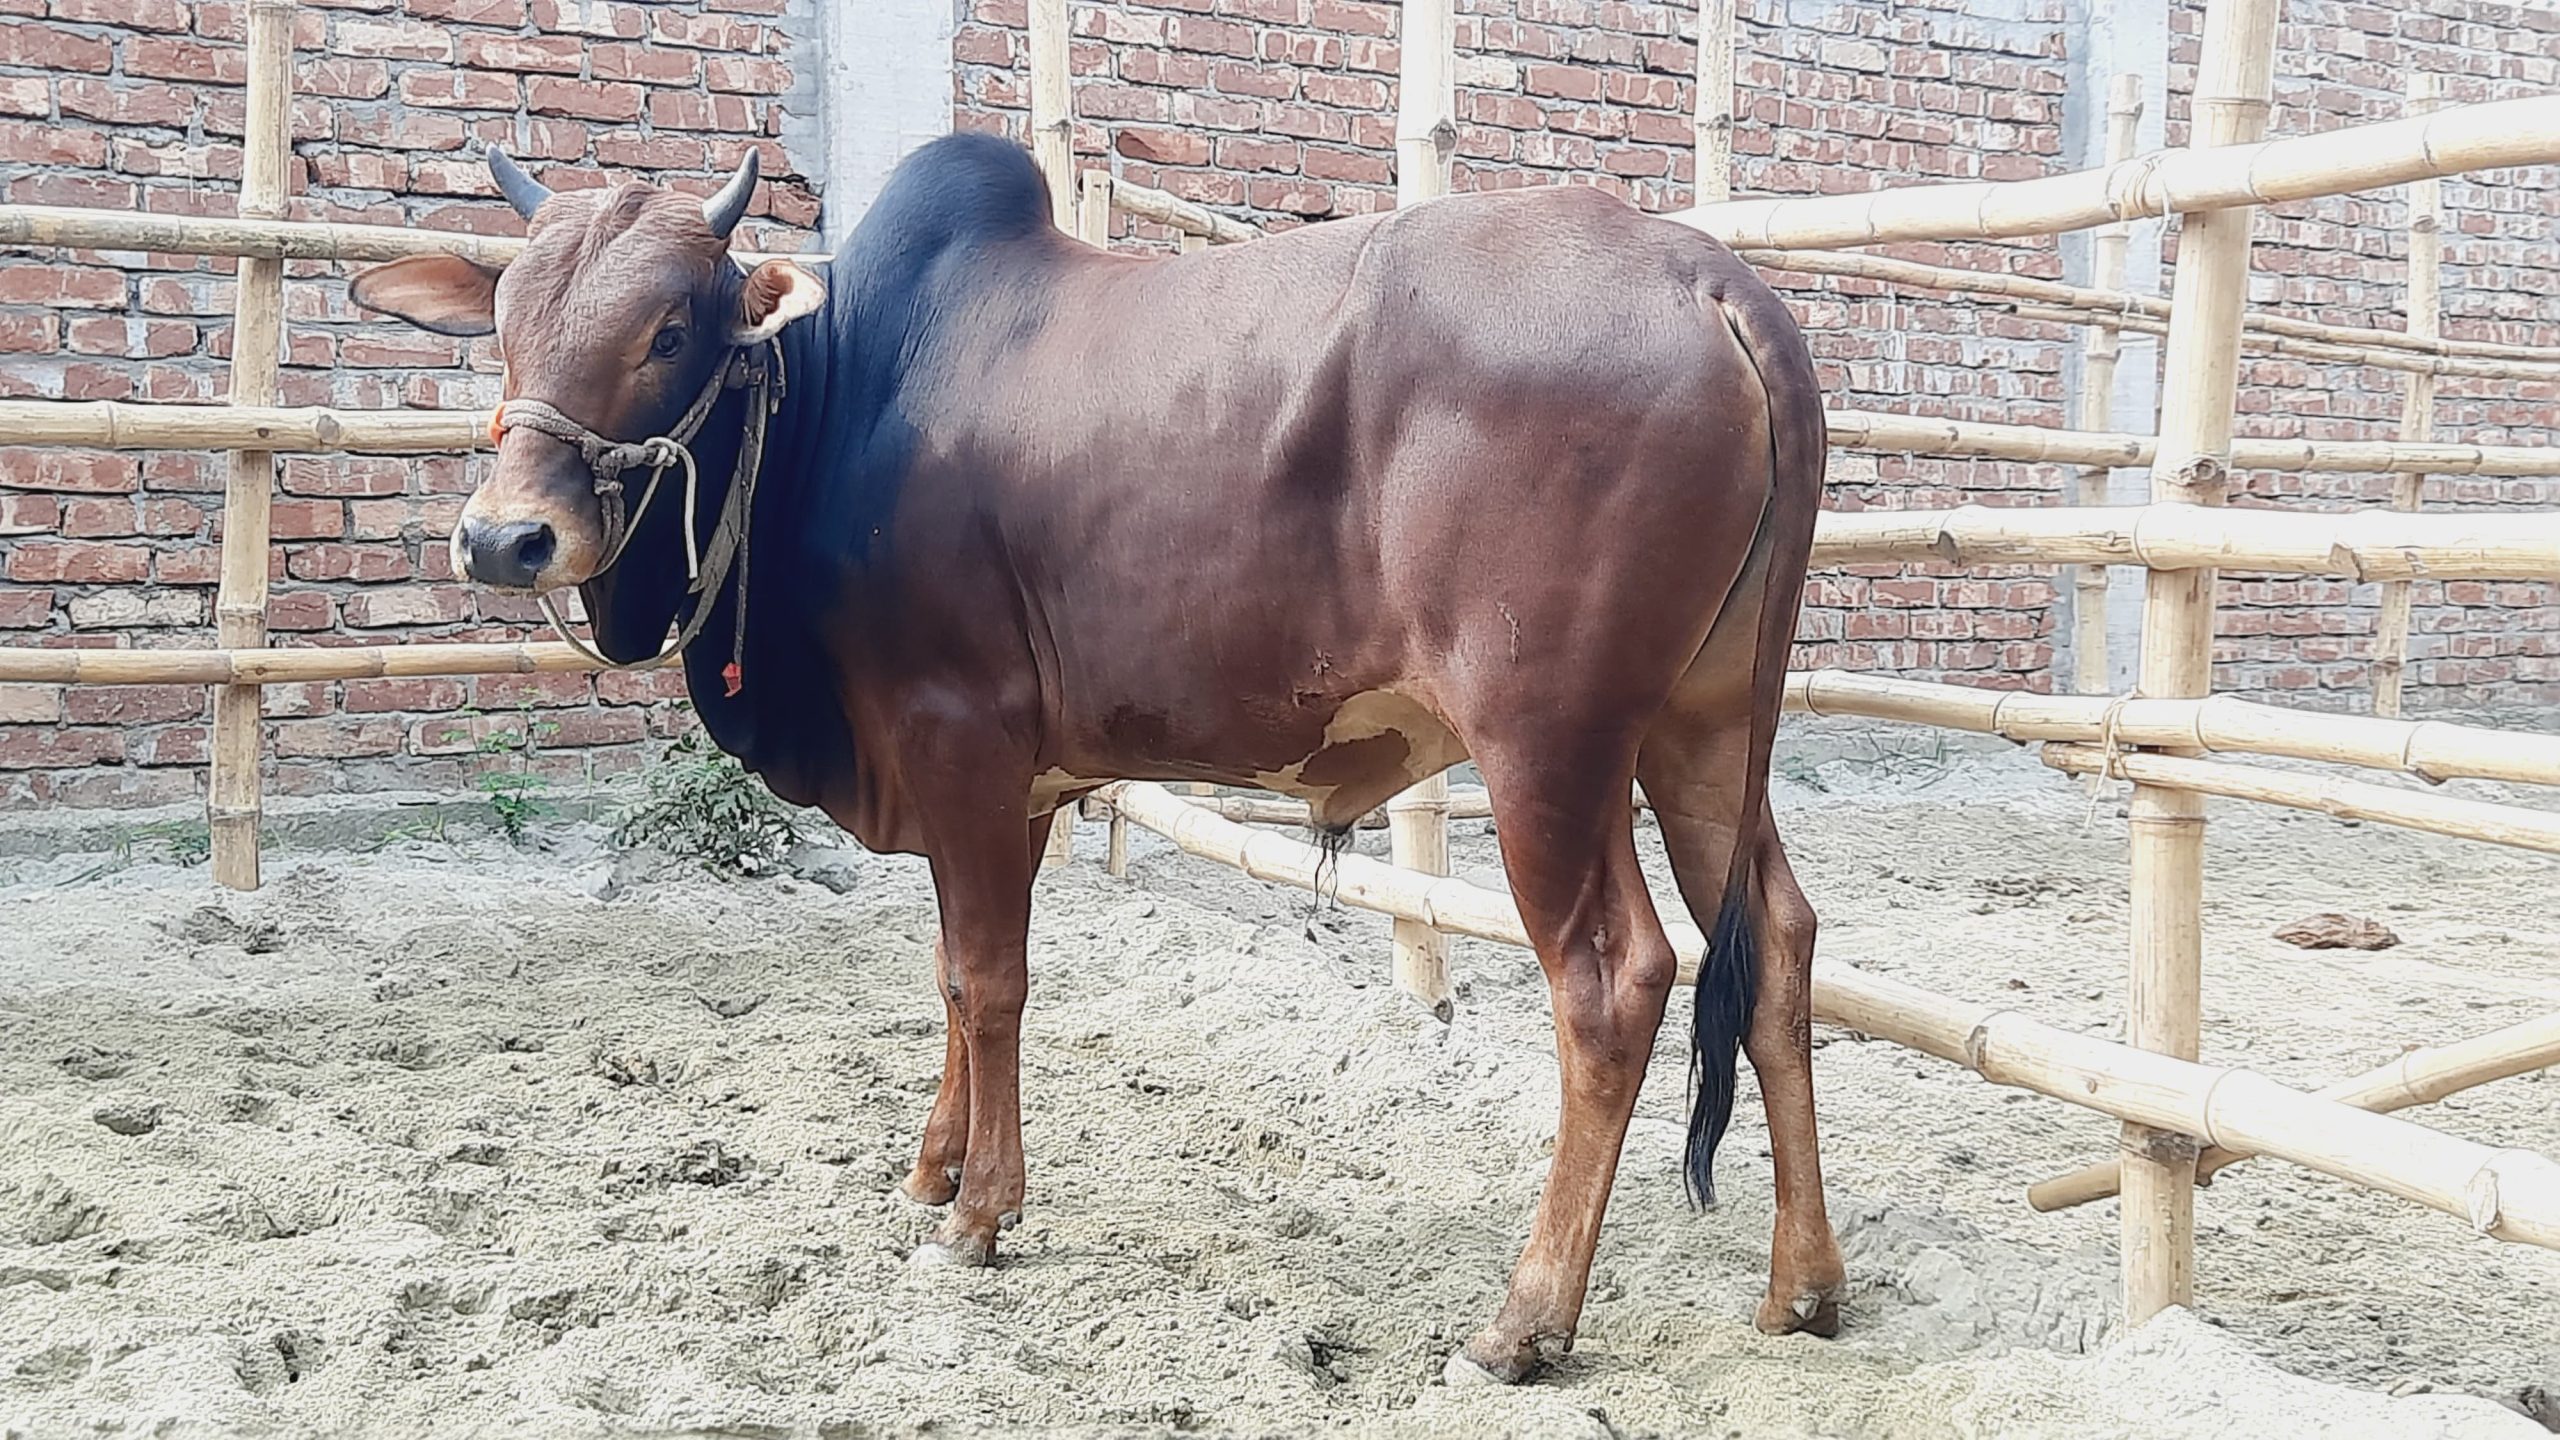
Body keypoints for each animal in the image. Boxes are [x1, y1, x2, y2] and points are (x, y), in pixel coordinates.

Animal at [349, 134, 1842, 1386]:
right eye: (504, 323)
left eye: (668, 328)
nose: (504, 539)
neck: (849, 398)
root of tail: (1713, 279)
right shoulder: (1011, 781)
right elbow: (954, 980)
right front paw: (934, 1174)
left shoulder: (958, 733)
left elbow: (989, 979)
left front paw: (977, 1217)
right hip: (1705, 727)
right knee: (1778, 941)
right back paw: (1805, 1286)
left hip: (1552, 748)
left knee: (1615, 981)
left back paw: (1524, 1320)